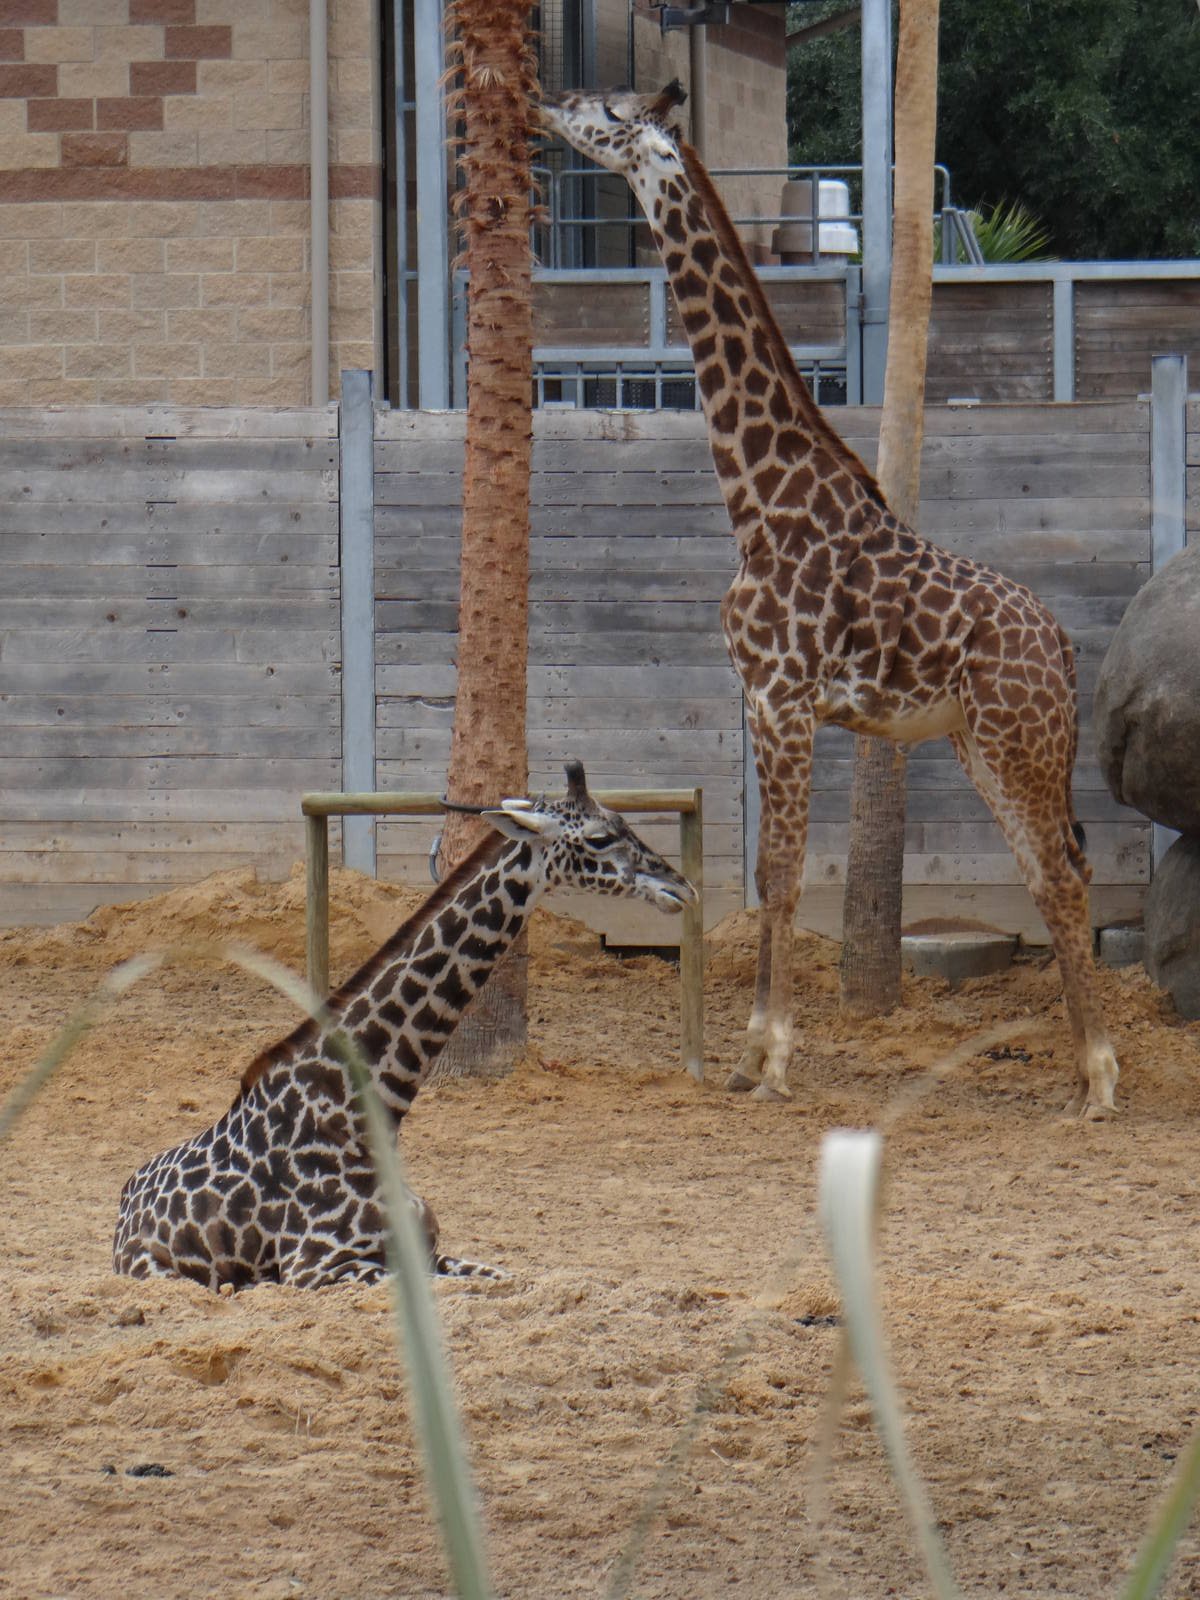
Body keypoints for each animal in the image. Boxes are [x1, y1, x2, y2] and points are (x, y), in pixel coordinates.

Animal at [113, 762, 698, 1290]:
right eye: (600, 837)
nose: (682, 887)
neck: (359, 1117)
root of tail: (123, 1205)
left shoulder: (429, 1252)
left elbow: (510, 1279)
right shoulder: (320, 1267)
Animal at [540, 83, 1119, 1118]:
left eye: (605, 113)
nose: (547, 101)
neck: (762, 504)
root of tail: (1060, 644)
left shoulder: (784, 697)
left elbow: (778, 873)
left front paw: (766, 1059)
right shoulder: (765, 699)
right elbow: (768, 871)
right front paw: (751, 1055)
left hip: (1018, 741)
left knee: (1058, 870)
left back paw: (1098, 1080)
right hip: (985, 745)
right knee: (1054, 869)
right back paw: (1082, 1068)